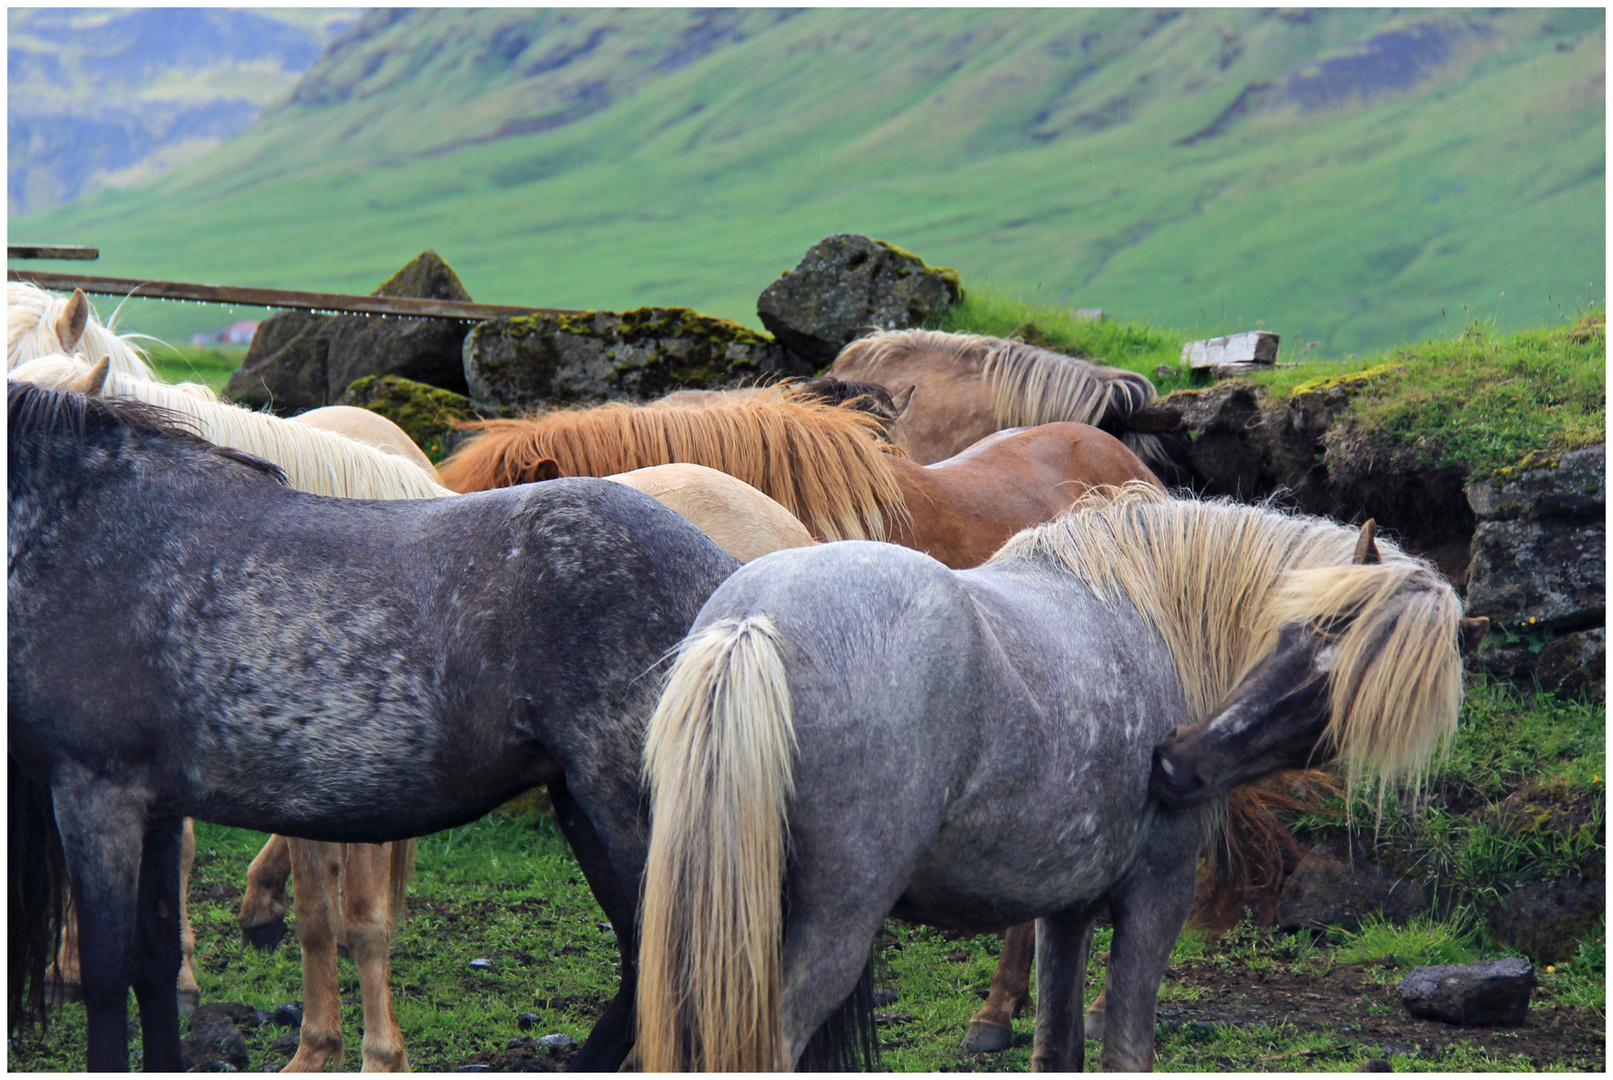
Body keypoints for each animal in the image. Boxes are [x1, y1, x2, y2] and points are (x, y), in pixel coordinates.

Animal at [1, 383, 738, 1076]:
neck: (86, 525)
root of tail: (732, 577)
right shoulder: (153, 804)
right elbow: (152, 965)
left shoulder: (96, 792)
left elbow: (107, 974)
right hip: (582, 805)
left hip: (624, 808)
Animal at [635, 490, 1490, 1076]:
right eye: (1300, 632)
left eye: (1336, 698)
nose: (1175, 765)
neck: (1152, 615)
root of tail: (757, 621)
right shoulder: (1155, 892)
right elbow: (1124, 1050)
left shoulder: (1065, 909)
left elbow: (1055, 1047)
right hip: (825, 931)